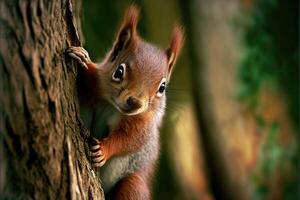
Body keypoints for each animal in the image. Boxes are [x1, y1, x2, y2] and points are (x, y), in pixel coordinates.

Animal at [66, 5, 183, 200]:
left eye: (162, 87)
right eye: (119, 72)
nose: (135, 102)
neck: (110, 105)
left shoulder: (142, 125)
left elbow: (129, 140)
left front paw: (103, 150)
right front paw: (84, 61)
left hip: (132, 185)